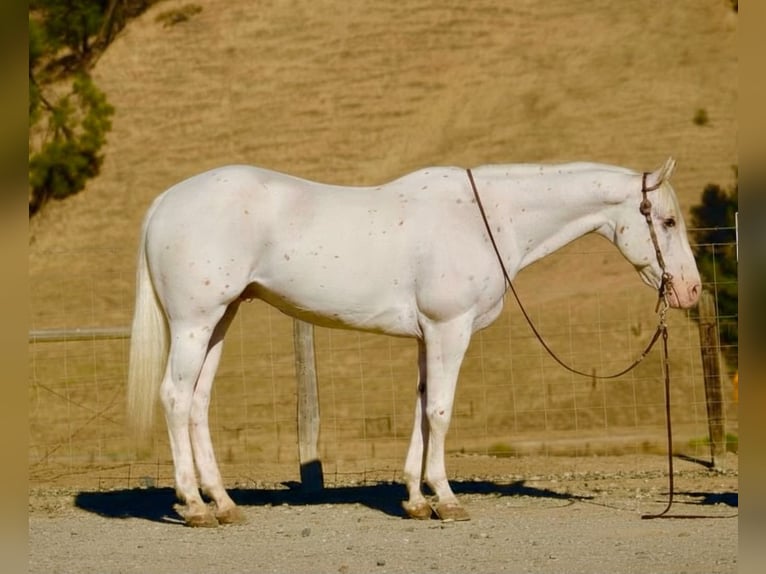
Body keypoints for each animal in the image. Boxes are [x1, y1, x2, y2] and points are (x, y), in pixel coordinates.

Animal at [127, 157, 701, 526]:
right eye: (669, 220)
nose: (691, 290)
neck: (484, 218)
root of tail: (166, 202)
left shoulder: (429, 335)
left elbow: (422, 410)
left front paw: (416, 500)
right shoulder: (450, 328)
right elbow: (441, 412)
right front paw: (446, 500)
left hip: (219, 320)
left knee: (198, 402)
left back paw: (222, 504)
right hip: (195, 321)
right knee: (175, 399)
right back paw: (194, 506)